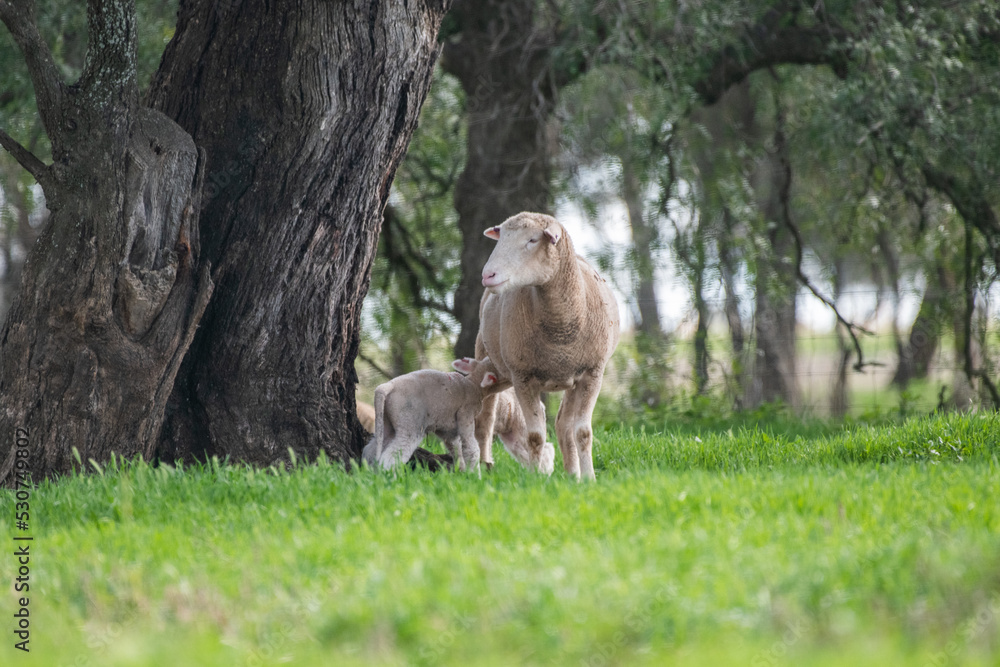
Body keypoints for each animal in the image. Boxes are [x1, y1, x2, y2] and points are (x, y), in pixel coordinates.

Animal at [361, 357, 502, 472]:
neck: (474, 385)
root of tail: (386, 387)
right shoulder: (466, 413)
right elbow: (472, 450)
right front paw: (475, 477)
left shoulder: (448, 430)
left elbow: (456, 449)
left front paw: (462, 472)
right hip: (409, 422)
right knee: (391, 458)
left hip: (387, 421)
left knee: (370, 451)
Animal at [475, 212, 620, 480]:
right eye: (502, 238)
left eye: (532, 240)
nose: (487, 275)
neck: (560, 331)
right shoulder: (522, 377)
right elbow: (535, 436)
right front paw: (534, 479)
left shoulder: (593, 373)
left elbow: (583, 432)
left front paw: (590, 479)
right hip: (486, 356)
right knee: (485, 420)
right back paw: (482, 466)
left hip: (571, 377)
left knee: (563, 425)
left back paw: (573, 475)